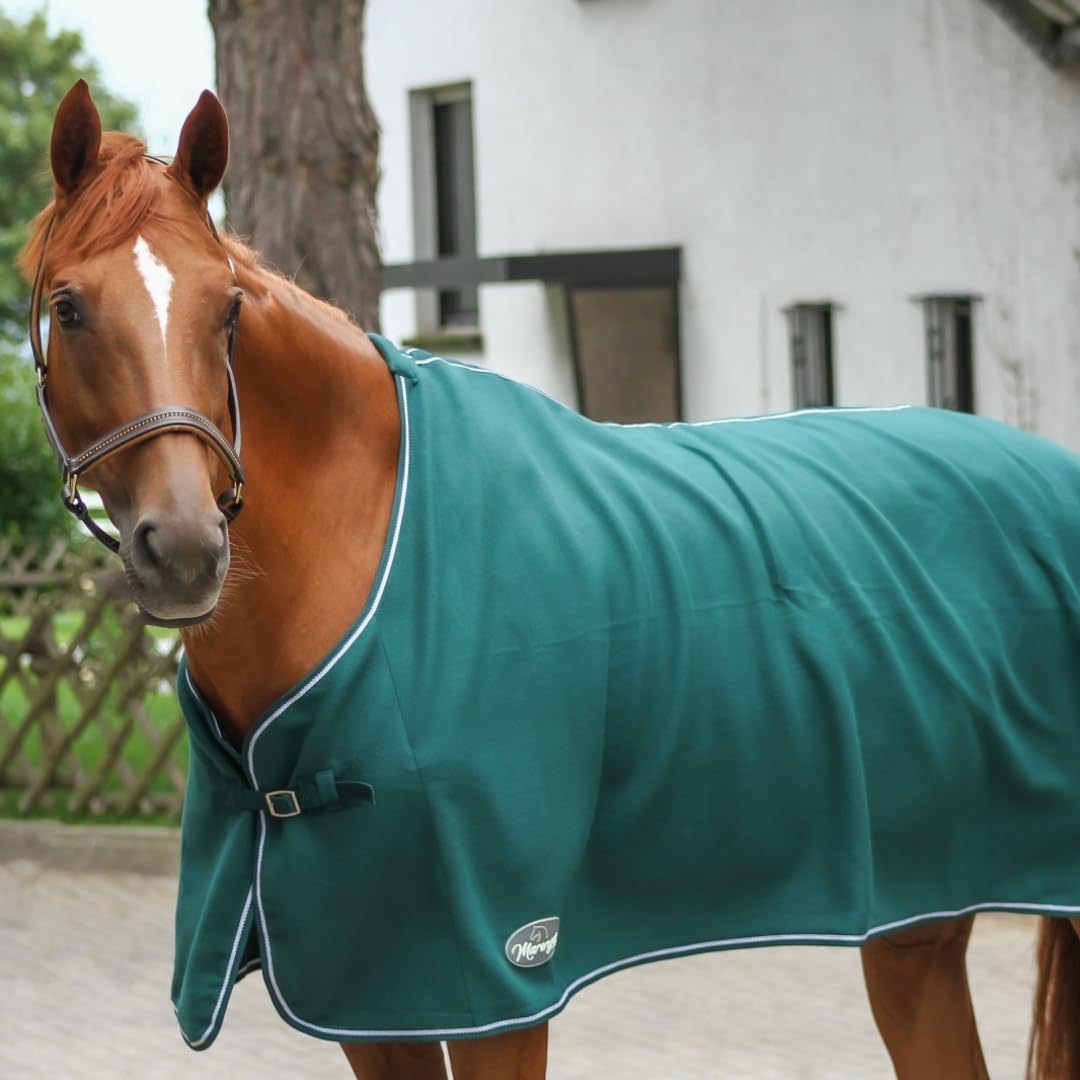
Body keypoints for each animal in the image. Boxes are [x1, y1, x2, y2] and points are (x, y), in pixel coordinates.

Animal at [19, 79, 1080, 1080]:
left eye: (228, 308)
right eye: (69, 306)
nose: (185, 548)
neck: (362, 548)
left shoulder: (499, 979)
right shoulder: (362, 992)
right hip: (917, 924)